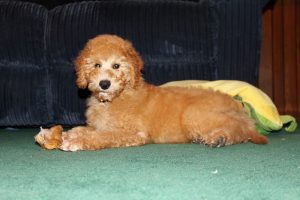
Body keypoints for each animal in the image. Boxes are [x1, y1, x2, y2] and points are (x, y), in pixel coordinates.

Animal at [35, 34, 268, 151]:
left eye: (117, 66)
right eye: (96, 65)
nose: (104, 83)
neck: (116, 98)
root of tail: (241, 110)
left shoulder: (132, 132)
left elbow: (105, 135)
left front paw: (75, 141)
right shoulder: (98, 124)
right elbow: (88, 129)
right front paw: (69, 134)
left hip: (194, 114)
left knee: (240, 131)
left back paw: (219, 138)